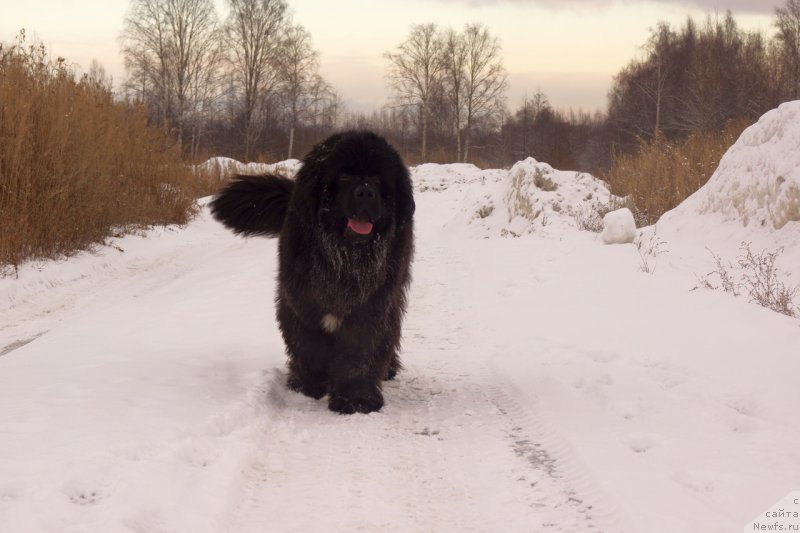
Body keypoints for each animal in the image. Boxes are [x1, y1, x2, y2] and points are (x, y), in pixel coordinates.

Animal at [209, 131, 416, 414]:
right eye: (344, 176)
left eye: (376, 177)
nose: (365, 192)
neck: (345, 258)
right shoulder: (301, 299)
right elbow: (309, 344)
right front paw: (311, 384)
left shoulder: (372, 304)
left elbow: (360, 351)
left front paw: (355, 398)